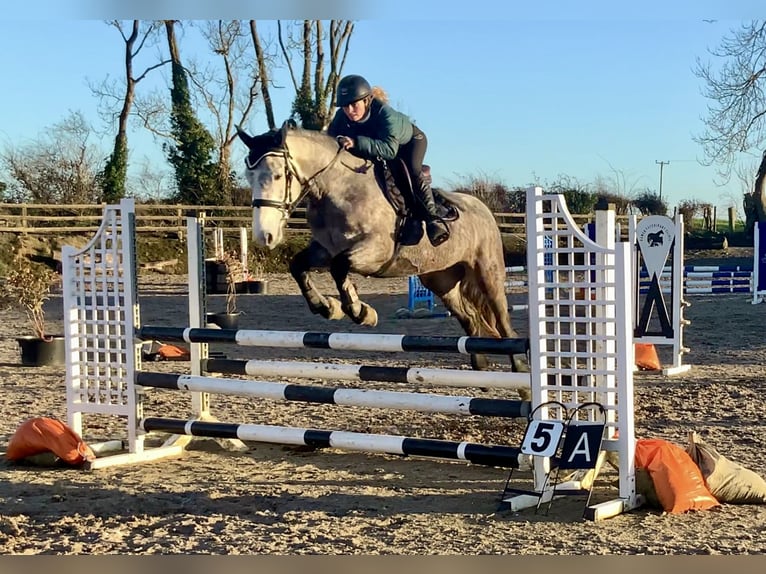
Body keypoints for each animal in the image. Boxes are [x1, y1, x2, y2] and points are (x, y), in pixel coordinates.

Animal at [236, 121, 524, 373]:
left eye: (277, 175)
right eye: (249, 176)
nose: (265, 235)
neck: (339, 189)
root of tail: (483, 208)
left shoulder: (377, 252)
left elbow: (340, 266)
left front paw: (360, 311)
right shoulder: (324, 250)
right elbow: (298, 266)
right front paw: (327, 307)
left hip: (487, 273)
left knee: (503, 323)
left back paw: (520, 372)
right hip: (441, 280)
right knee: (471, 320)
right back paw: (481, 367)